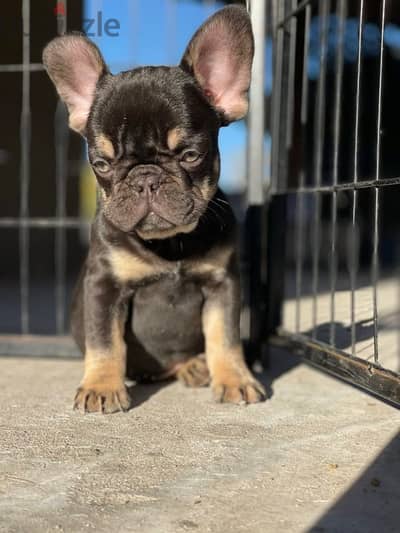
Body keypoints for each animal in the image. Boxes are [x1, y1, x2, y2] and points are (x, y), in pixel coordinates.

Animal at [43, 5, 266, 412]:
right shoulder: (105, 284)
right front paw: (101, 386)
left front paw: (235, 379)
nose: (145, 178)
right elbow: (105, 341)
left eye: (191, 155)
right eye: (102, 164)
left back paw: (196, 366)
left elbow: (225, 337)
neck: (169, 244)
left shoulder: (223, 284)